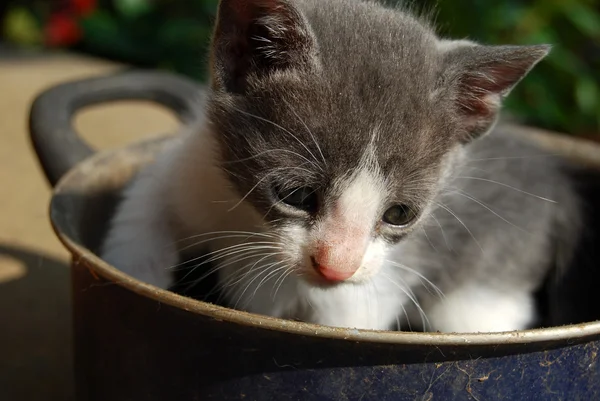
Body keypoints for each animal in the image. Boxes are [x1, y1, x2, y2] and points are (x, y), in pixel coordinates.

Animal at [99, 0, 580, 332]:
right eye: (295, 195)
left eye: (400, 213)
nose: (337, 267)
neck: (248, 226)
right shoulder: (195, 163)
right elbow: (143, 204)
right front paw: (134, 276)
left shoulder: (376, 289)